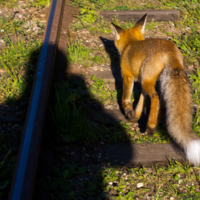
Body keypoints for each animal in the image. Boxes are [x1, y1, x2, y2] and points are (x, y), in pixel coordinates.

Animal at [110, 12, 200, 166]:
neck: (130, 45)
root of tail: (170, 49)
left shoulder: (128, 76)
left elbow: (126, 99)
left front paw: (128, 112)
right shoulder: (142, 84)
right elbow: (141, 102)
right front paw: (136, 117)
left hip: (148, 81)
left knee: (155, 97)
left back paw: (151, 127)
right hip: (159, 82)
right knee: (163, 105)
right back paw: (155, 124)